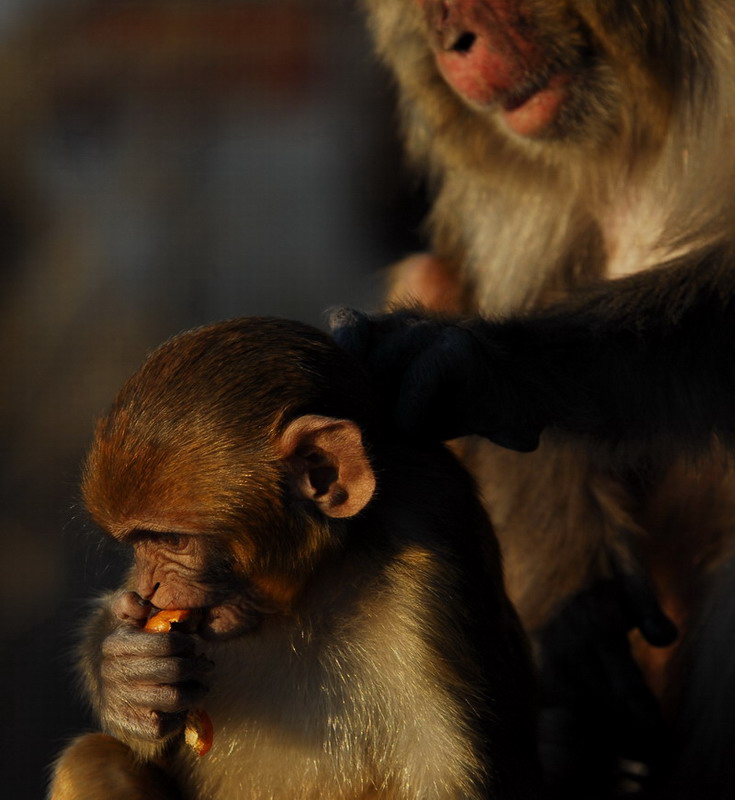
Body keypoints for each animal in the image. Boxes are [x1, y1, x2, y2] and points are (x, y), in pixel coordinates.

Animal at [47, 316, 540, 800]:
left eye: (172, 540)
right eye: (138, 543)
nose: (149, 585)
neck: (314, 585)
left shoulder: (431, 560)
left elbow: (444, 775)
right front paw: (122, 679)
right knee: (93, 758)